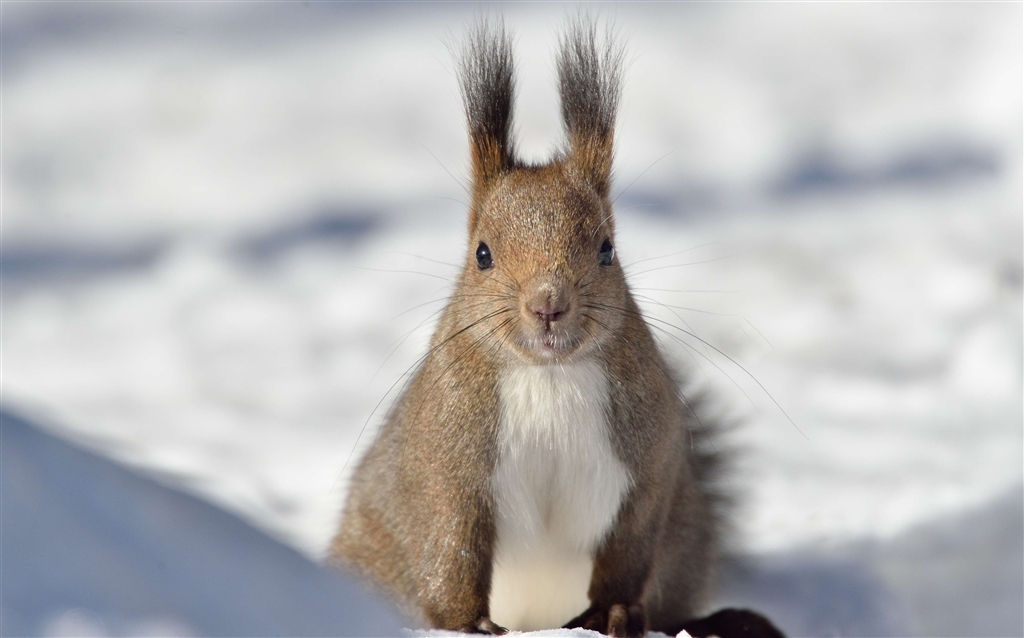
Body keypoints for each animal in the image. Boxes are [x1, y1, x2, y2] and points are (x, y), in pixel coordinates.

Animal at [327, 17, 782, 638]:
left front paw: (613, 612)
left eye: (608, 249)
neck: (549, 376)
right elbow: (451, 551)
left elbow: (627, 551)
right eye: (482, 254)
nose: (548, 304)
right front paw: (466, 624)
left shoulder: (647, 464)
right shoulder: (447, 465)